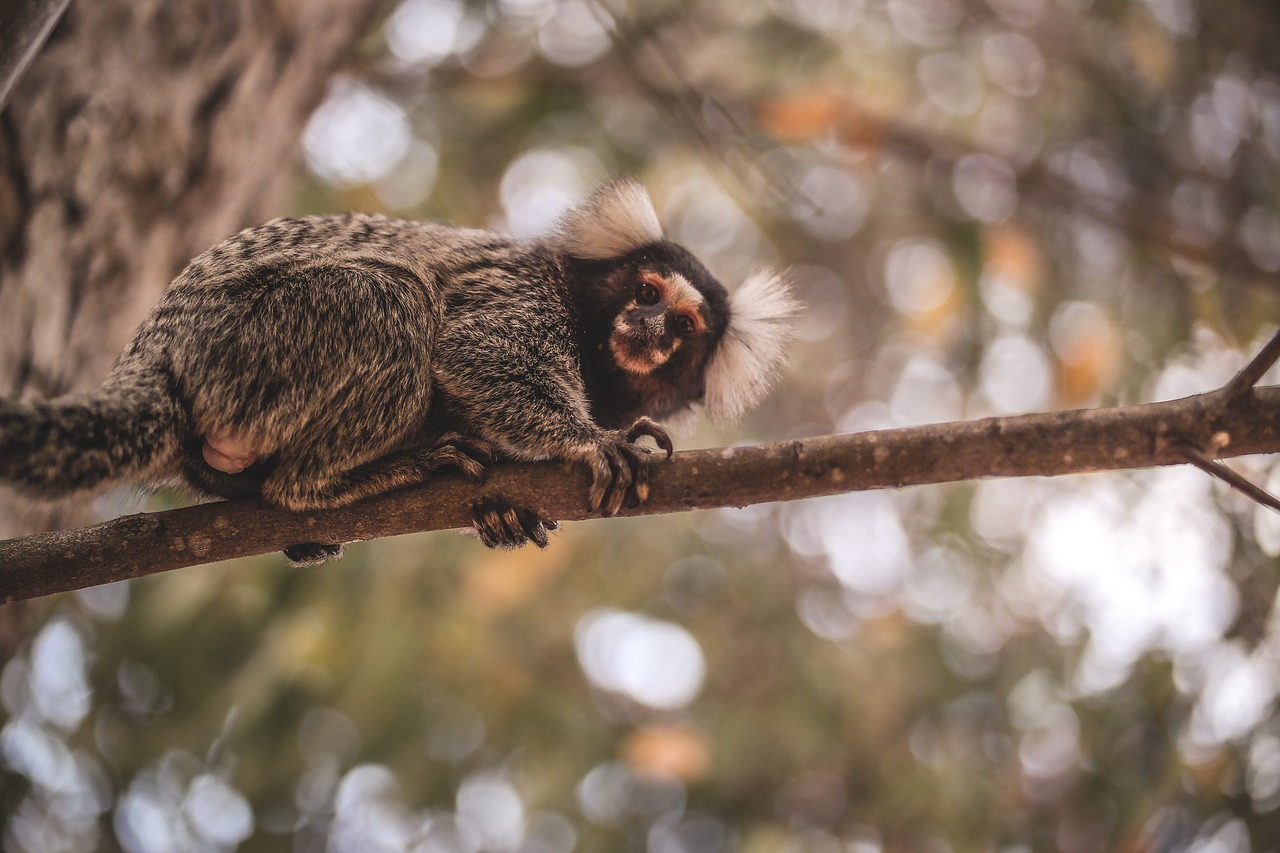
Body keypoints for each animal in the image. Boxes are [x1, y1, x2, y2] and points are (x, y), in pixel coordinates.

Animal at [0, 180, 793, 558]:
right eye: (647, 292)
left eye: (685, 327)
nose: (649, 329)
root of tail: (158, 348)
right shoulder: (526, 293)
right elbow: (478, 351)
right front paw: (592, 439)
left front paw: (506, 513)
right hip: (246, 340)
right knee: (397, 301)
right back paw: (331, 483)